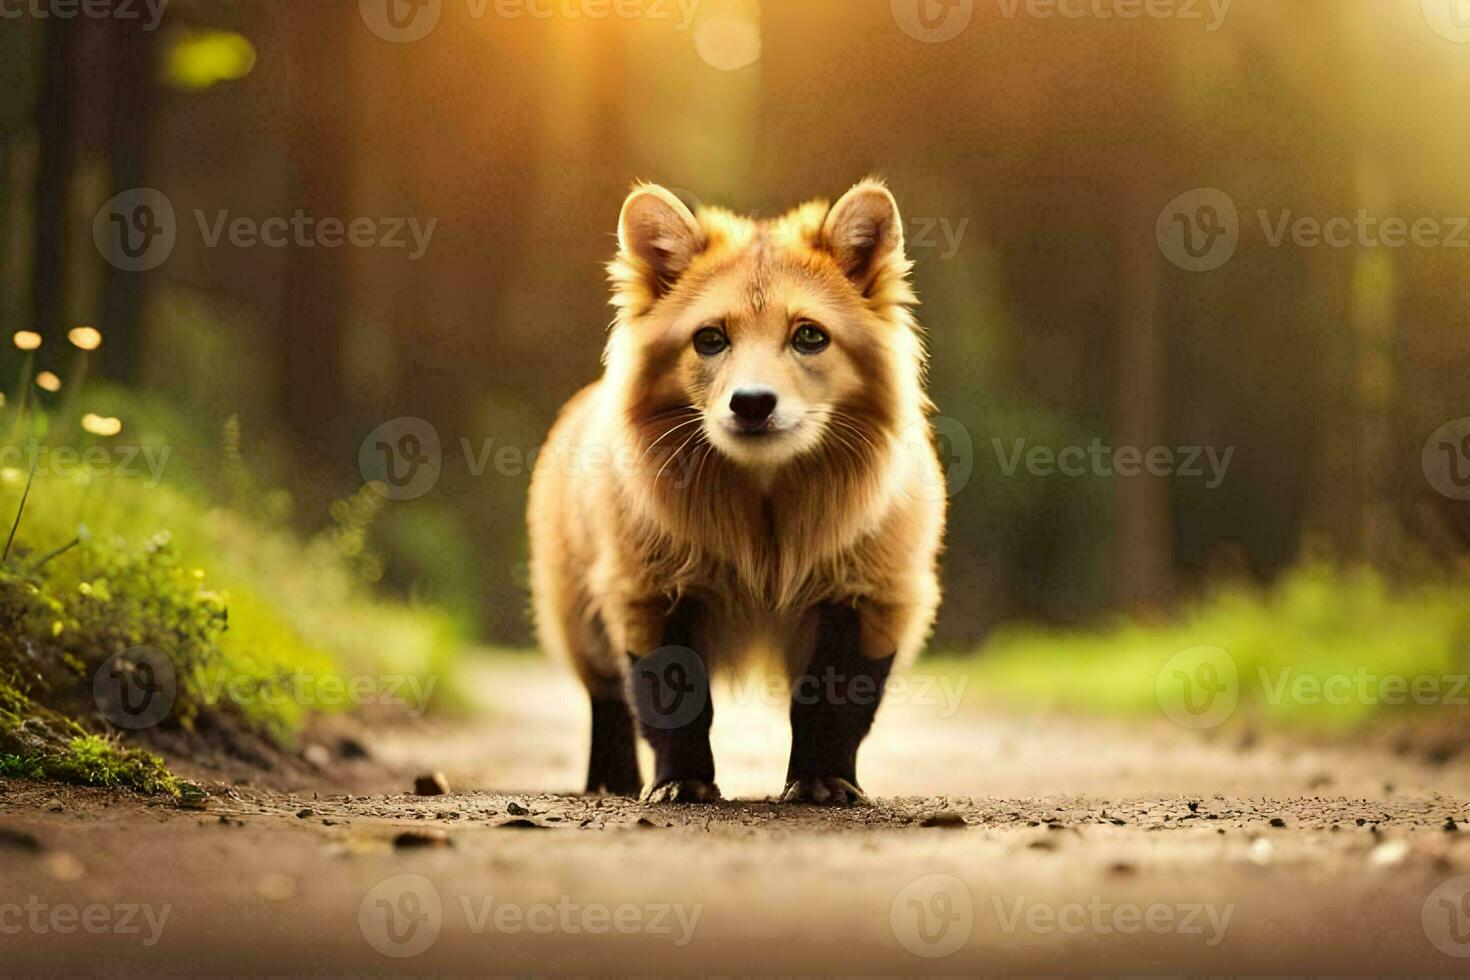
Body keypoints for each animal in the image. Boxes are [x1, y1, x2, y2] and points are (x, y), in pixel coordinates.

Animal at [529, 179, 940, 811]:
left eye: (810, 335)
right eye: (710, 338)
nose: (751, 403)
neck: (763, 518)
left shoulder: (872, 594)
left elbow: (832, 705)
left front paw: (823, 780)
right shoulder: (648, 591)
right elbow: (671, 699)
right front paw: (680, 781)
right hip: (576, 617)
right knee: (608, 701)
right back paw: (611, 781)